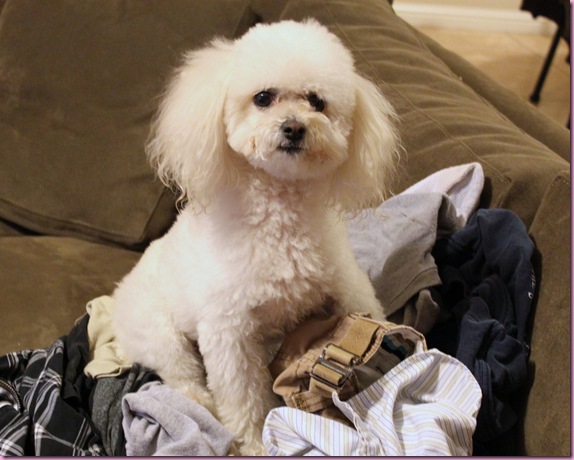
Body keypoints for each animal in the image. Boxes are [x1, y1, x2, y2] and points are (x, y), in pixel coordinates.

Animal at [113, 18, 400, 456]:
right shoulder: (230, 332)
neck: (280, 213)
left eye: (317, 102)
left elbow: (370, 315)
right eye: (263, 98)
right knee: (182, 375)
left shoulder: (348, 287)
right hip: (161, 333)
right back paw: (198, 402)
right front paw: (253, 443)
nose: (294, 127)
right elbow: (243, 396)